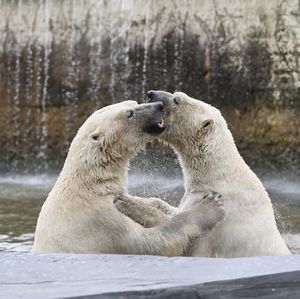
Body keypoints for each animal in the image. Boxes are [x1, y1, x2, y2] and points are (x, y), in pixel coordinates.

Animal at [32, 101, 225, 255]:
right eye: (129, 113)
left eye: (134, 102)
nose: (159, 106)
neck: (91, 185)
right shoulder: (102, 221)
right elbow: (151, 243)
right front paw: (209, 207)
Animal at [115, 91, 290, 258]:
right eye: (177, 93)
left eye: (177, 100)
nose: (151, 94)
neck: (218, 175)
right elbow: (172, 209)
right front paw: (136, 198)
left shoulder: (219, 222)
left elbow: (183, 231)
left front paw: (127, 203)